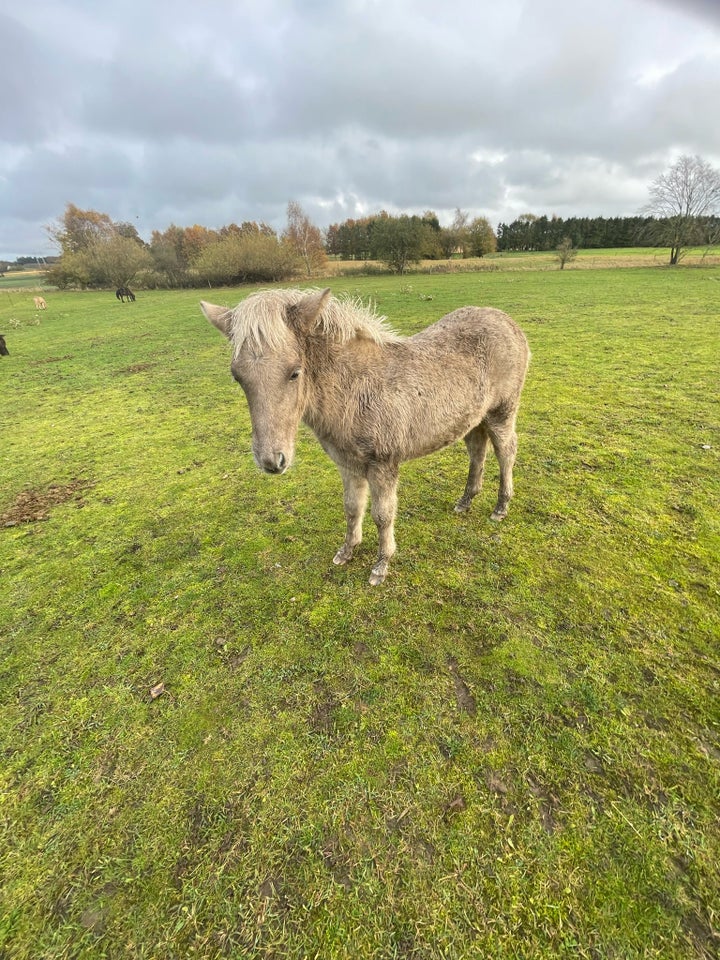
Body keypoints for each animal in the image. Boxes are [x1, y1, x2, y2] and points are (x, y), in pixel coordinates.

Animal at [201, 286, 528, 584]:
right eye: (237, 377)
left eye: (295, 372)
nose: (272, 461)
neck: (355, 389)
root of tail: (509, 323)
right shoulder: (347, 464)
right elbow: (352, 507)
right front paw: (347, 551)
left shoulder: (383, 465)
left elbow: (382, 514)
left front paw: (381, 566)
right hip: (473, 419)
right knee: (477, 450)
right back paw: (465, 501)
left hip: (501, 412)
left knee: (506, 451)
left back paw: (501, 507)